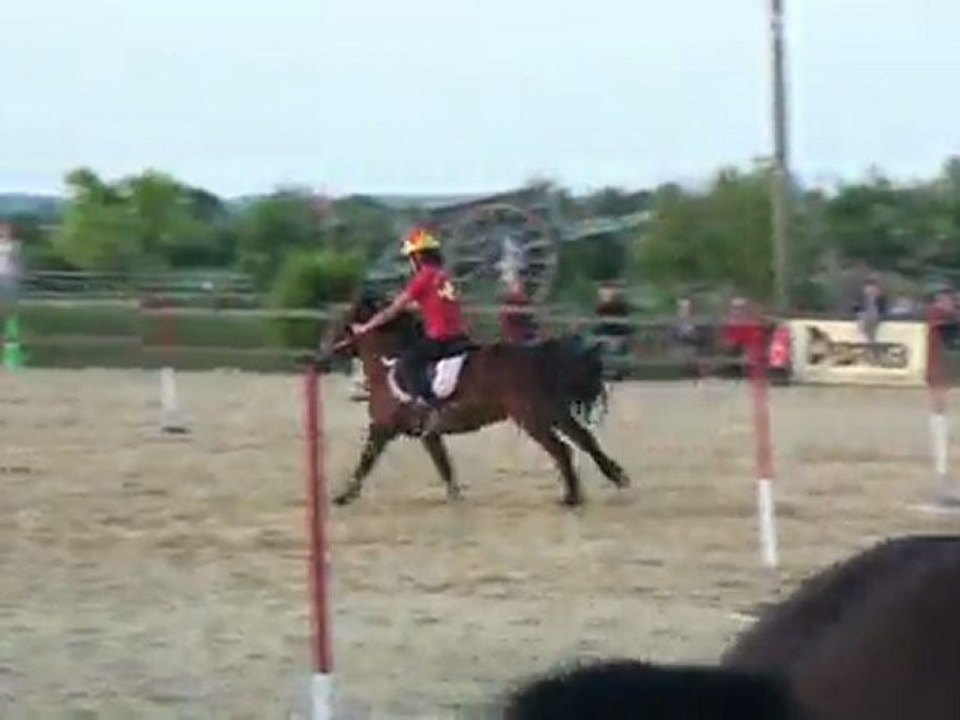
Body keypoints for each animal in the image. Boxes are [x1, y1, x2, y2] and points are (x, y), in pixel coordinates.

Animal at [317, 291, 630, 508]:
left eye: (342, 324)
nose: (321, 354)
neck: (388, 365)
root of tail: (538, 355)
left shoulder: (382, 429)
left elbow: (365, 462)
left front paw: (343, 496)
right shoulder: (429, 435)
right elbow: (444, 466)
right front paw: (456, 497)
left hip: (533, 418)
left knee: (563, 450)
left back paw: (572, 497)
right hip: (553, 412)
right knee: (585, 440)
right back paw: (616, 477)